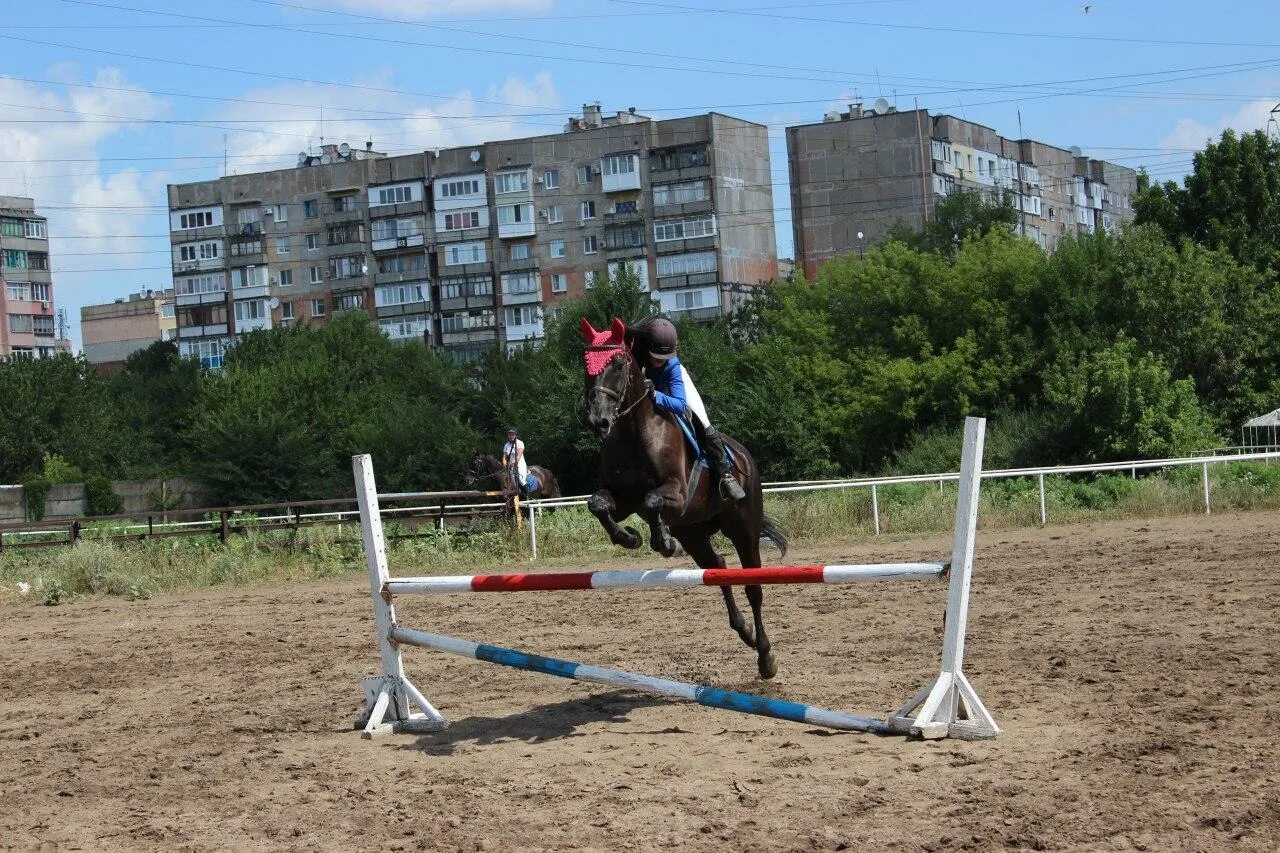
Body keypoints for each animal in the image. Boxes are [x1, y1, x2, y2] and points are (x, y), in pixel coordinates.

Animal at [583, 315, 788, 681]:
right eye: (585, 363)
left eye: (618, 363)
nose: (598, 421)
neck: (634, 432)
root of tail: (745, 456)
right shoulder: (622, 501)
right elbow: (600, 504)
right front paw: (630, 538)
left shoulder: (677, 494)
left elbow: (652, 501)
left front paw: (662, 542)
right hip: (694, 533)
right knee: (718, 567)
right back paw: (745, 631)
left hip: (743, 528)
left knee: (753, 587)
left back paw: (765, 657)